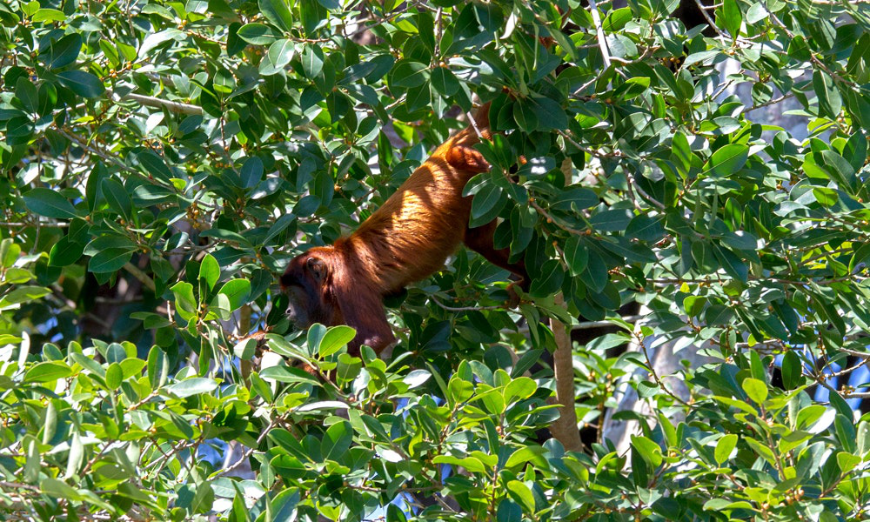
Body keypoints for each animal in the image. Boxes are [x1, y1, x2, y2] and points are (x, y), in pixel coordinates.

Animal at [280, 103, 528, 356]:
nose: (287, 311)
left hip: (479, 149)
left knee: (463, 157)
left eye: (293, 294)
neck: (334, 263)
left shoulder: (348, 283)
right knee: (481, 241)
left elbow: (374, 339)